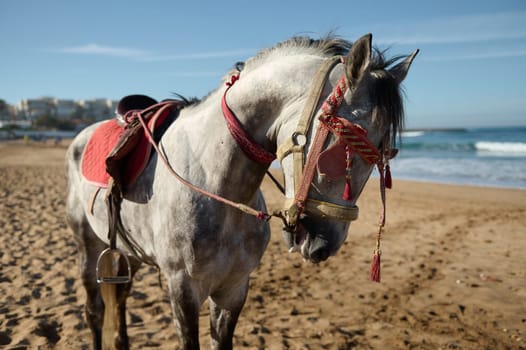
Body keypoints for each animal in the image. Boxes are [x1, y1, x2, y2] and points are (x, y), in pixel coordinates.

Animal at [66, 33, 418, 350]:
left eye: (382, 155)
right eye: (342, 149)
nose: (323, 245)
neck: (214, 185)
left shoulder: (233, 289)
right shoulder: (183, 288)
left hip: (129, 252)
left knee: (120, 301)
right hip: (88, 245)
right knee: (94, 311)